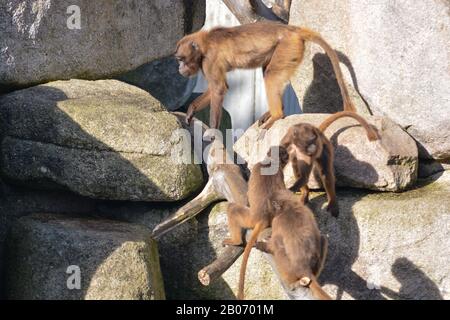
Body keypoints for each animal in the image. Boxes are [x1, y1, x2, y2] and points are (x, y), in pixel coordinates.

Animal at [174, 20, 356, 131]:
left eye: (181, 59)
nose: (180, 68)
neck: (204, 44)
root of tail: (292, 29)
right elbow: (217, 88)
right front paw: (191, 110)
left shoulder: (209, 60)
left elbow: (219, 89)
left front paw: (213, 132)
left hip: (288, 46)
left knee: (271, 75)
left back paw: (277, 115)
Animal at [223, 145, 290, 300]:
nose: (287, 159)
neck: (270, 163)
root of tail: (261, 218)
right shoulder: (279, 173)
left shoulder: (257, 167)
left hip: (249, 218)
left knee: (232, 209)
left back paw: (236, 241)